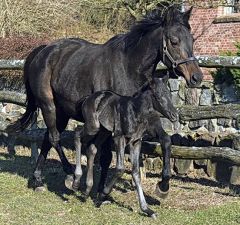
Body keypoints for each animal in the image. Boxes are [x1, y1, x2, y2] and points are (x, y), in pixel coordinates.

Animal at [71, 76, 178, 217]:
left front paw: (147, 209)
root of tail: (88, 97)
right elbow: (120, 169)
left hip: (104, 131)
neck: (136, 111)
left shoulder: (136, 141)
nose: (174, 115)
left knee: (92, 148)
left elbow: (136, 172)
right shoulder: (119, 137)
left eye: (170, 95)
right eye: (158, 96)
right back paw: (76, 182)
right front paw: (101, 197)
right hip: (93, 127)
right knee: (77, 134)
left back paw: (87, 190)